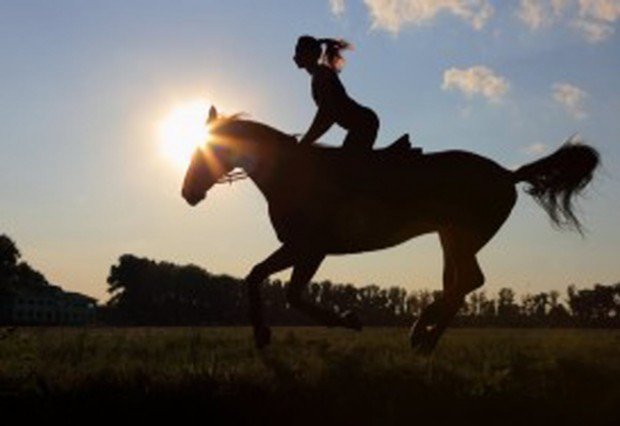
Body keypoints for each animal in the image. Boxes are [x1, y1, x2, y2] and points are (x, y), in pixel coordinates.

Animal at [182, 106, 600, 352]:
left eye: (210, 150)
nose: (187, 193)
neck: (290, 173)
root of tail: (507, 174)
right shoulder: (300, 247)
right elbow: (256, 277)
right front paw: (261, 333)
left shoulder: (311, 247)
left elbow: (292, 294)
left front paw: (347, 320)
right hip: (451, 237)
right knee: (459, 282)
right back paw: (425, 333)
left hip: (462, 236)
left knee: (468, 281)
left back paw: (423, 332)